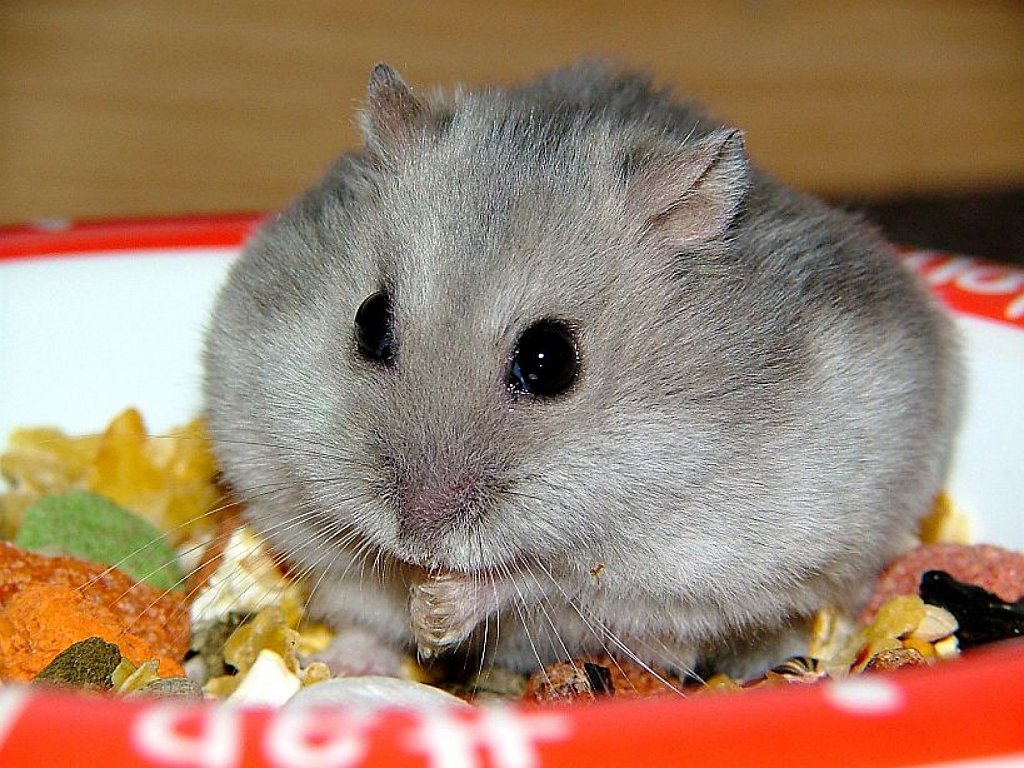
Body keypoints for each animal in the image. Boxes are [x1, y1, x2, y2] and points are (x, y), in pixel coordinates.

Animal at [203, 60, 961, 681]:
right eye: (368, 321)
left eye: (549, 362)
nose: (417, 535)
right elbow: (356, 551)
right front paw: (409, 585)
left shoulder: (662, 555)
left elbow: (546, 578)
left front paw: (439, 606)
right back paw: (348, 664)